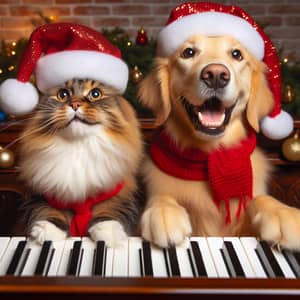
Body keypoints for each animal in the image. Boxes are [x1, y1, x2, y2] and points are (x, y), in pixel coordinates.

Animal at [15, 78, 144, 247]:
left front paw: (109, 232)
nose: (75, 104)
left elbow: (110, 208)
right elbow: (48, 210)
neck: (79, 146)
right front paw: (47, 231)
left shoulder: (119, 190)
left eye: (95, 94)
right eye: (63, 94)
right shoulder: (43, 192)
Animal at [138, 31, 300, 251]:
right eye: (188, 52)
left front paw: (282, 212)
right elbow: (162, 195)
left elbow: (260, 199)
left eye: (237, 54)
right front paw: (164, 212)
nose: (215, 75)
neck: (208, 155)